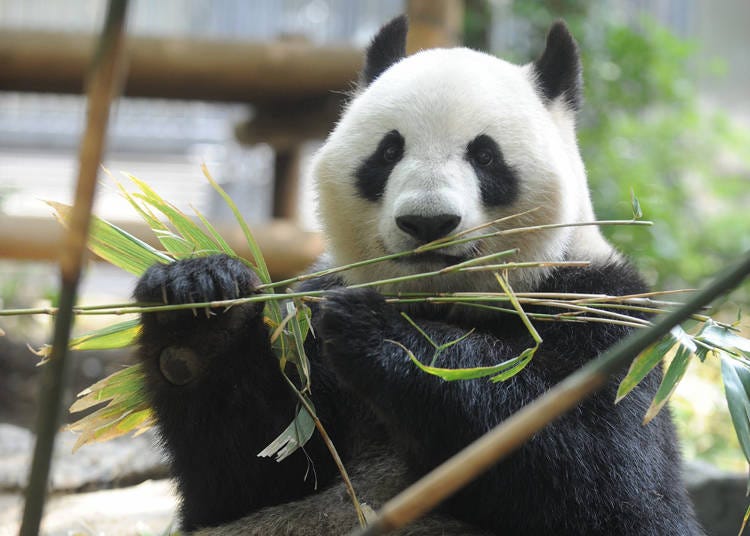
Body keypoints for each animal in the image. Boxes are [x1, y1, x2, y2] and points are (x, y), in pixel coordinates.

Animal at [135, 16, 704, 536]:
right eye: (389, 151)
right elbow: (246, 476)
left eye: (485, 154)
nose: (428, 221)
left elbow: (608, 481)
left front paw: (385, 336)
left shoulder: (605, 316)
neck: (437, 298)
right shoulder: (308, 329)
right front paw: (198, 306)